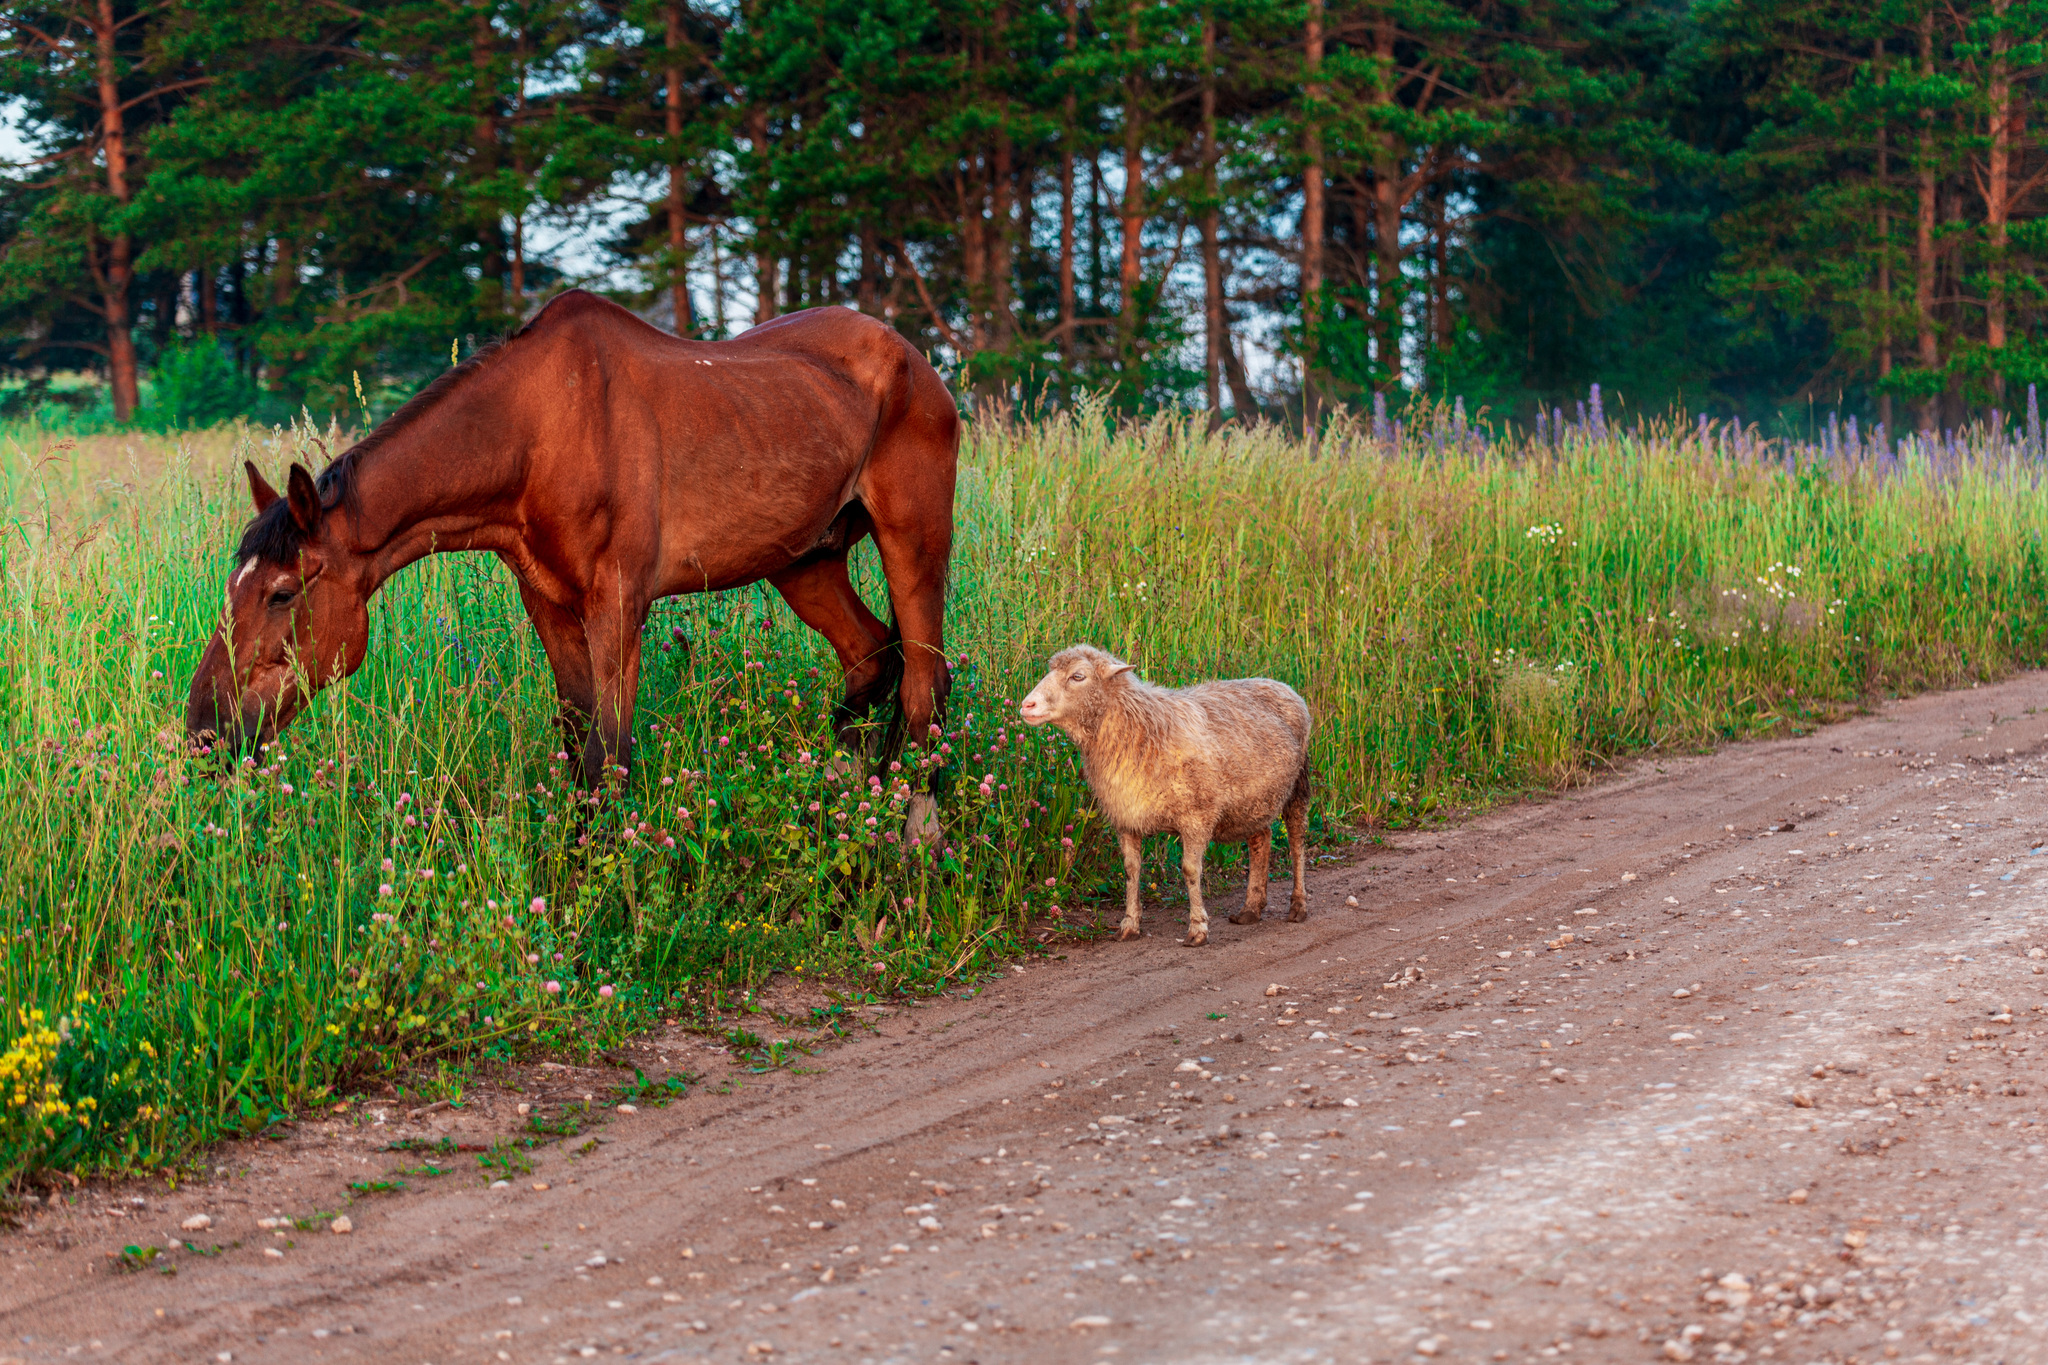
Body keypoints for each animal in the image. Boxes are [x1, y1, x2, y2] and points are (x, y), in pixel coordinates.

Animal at [188, 288, 954, 802]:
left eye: (283, 592)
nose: (202, 731)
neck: (538, 432)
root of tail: (916, 361)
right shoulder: (550, 605)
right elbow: (576, 743)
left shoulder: (617, 606)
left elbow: (607, 757)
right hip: (806, 563)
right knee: (872, 659)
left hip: (913, 544)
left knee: (925, 688)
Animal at [1019, 646, 1310, 945]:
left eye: (1078, 676)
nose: (1026, 706)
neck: (1139, 730)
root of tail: (1280, 684)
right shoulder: (1126, 817)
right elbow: (1131, 870)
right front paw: (1129, 924)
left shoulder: (1197, 817)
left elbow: (1190, 870)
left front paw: (1198, 928)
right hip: (1254, 800)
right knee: (1261, 839)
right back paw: (1251, 909)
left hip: (1298, 783)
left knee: (1297, 838)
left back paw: (1298, 906)